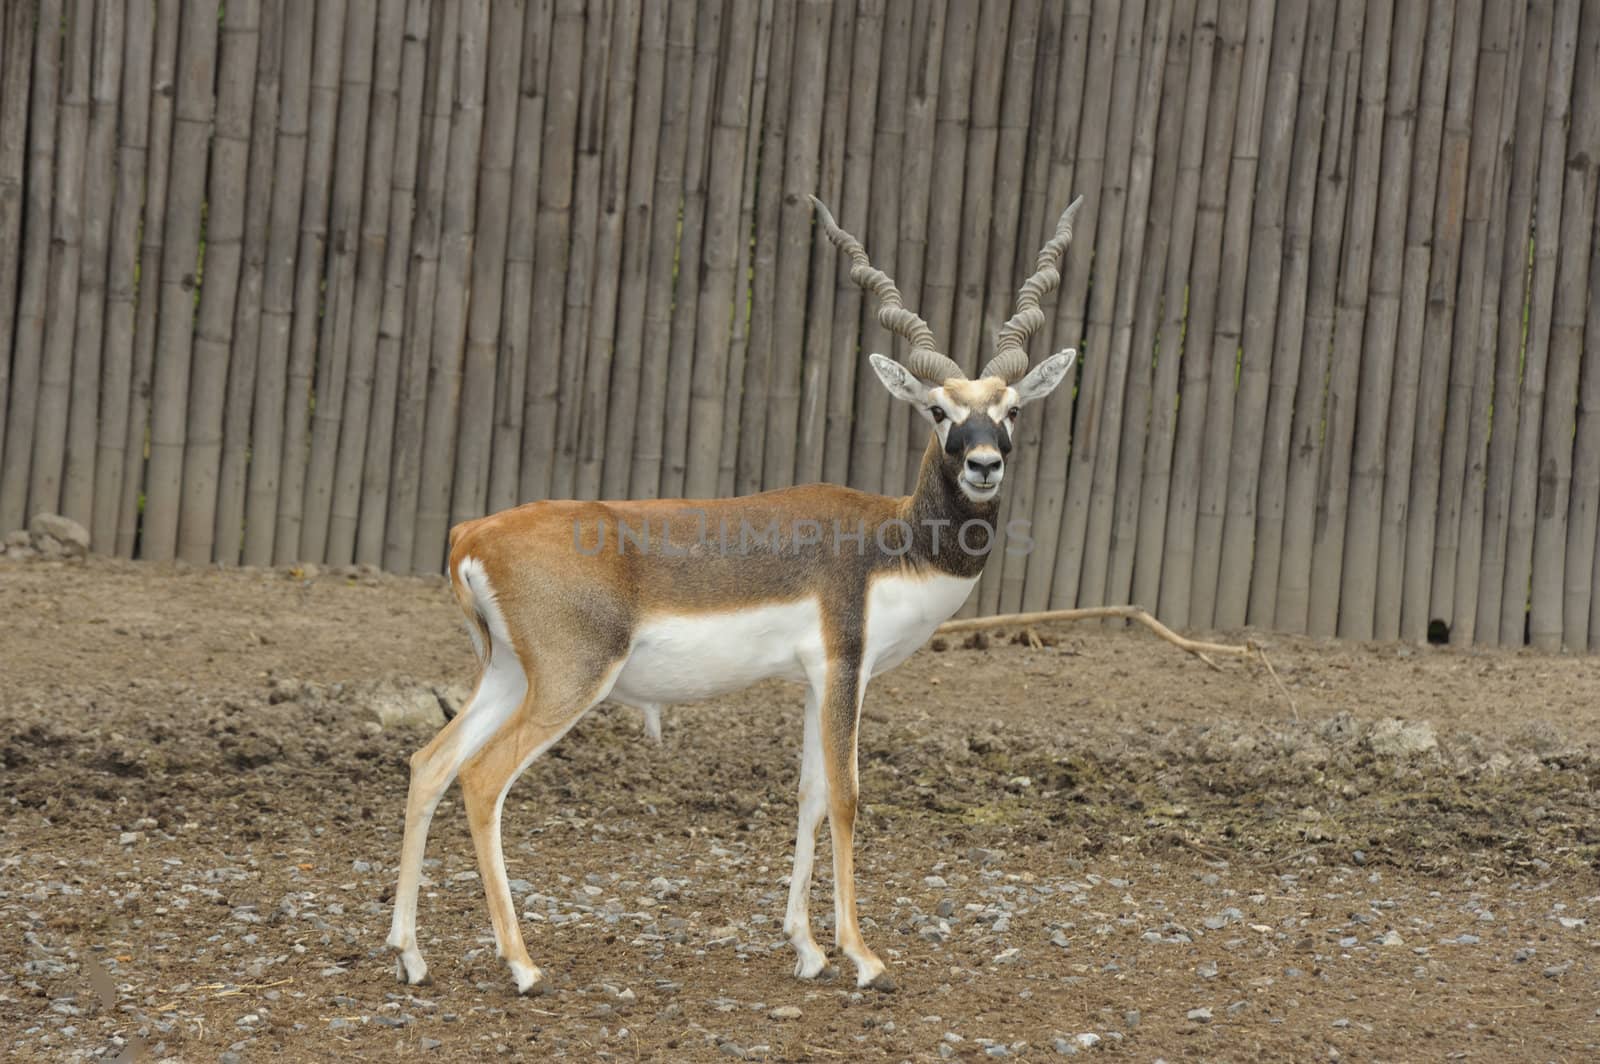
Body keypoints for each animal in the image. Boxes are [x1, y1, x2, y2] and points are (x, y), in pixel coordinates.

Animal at [387, 192, 1088, 998]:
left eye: (1011, 409)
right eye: (938, 410)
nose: (982, 464)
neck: (893, 540)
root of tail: (472, 533)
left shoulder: (815, 680)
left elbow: (809, 797)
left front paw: (807, 949)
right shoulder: (845, 667)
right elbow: (846, 796)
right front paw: (862, 956)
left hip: (506, 672)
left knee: (429, 764)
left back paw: (410, 955)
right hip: (570, 680)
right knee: (480, 780)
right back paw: (524, 965)